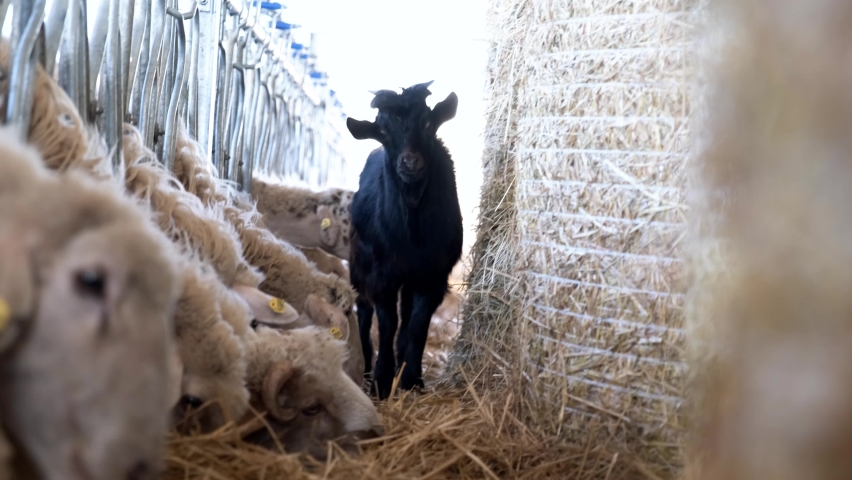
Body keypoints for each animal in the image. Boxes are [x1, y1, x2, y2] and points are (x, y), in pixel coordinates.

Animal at [345, 81, 463, 399]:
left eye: (428, 124)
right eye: (383, 131)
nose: (410, 161)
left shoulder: (433, 276)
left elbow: (416, 326)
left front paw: (411, 379)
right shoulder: (381, 274)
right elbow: (387, 324)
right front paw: (382, 382)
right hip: (360, 263)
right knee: (363, 309)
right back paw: (365, 366)